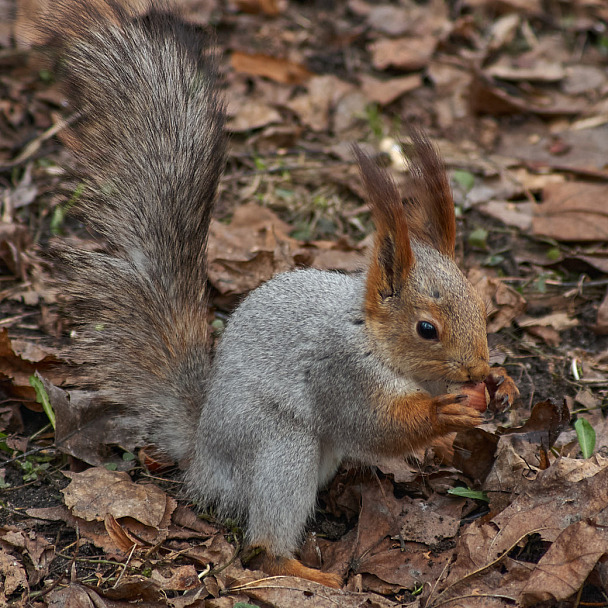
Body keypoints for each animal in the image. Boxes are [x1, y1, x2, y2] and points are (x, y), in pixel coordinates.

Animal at [44, 0, 516, 588]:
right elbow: (375, 425)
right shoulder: (339, 371)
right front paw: (445, 413)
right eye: (426, 328)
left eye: (480, 306)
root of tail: (203, 460)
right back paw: (308, 573)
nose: (477, 368)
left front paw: (502, 385)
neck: (372, 339)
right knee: (261, 544)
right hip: (277, 447)